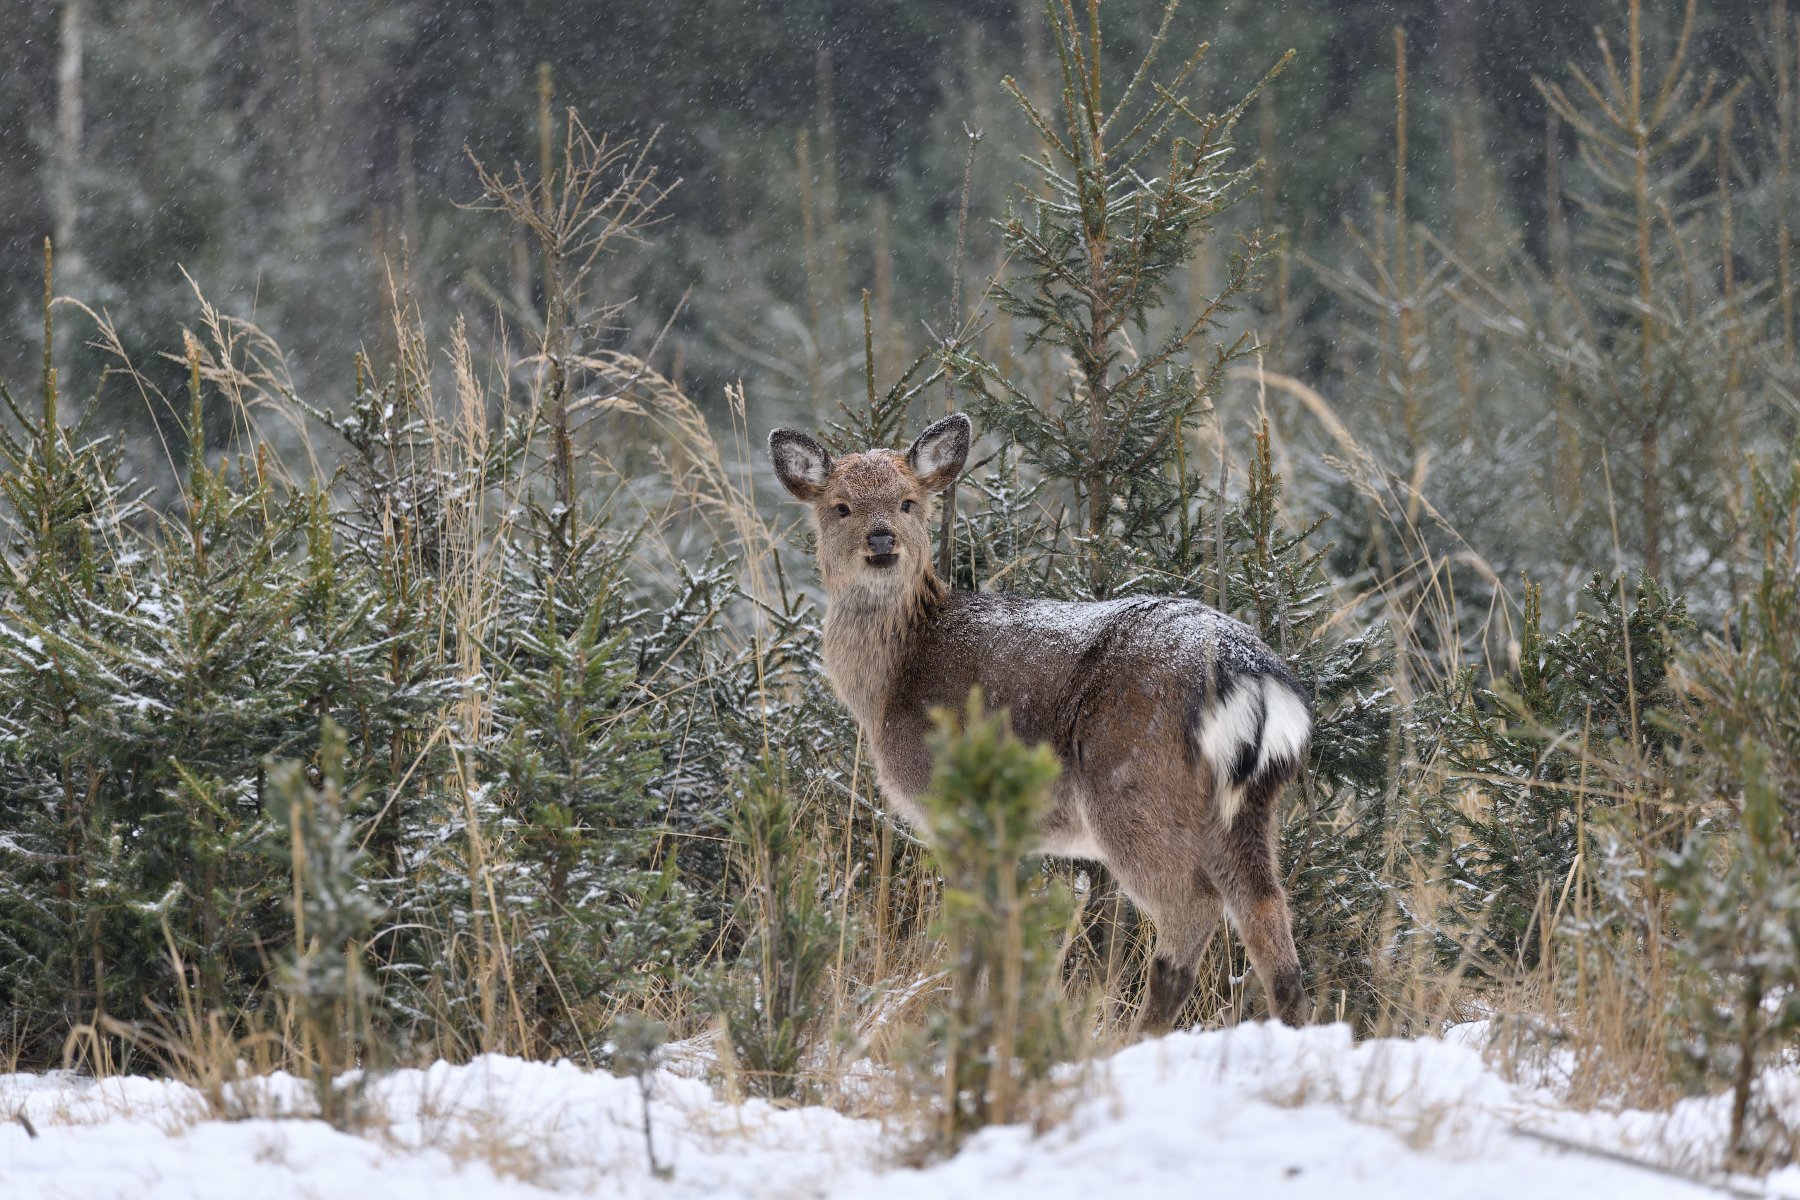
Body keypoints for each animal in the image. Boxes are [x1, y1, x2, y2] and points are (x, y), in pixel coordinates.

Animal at [766, 415, 1317, 1036]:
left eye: (908, 502)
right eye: (840, 506)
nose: (882, 541)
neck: (895, 677)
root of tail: (1249, 671)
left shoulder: (953, 805)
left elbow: (971, 937)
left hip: (1133, 785)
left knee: (1194, 905)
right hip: (1250, 804)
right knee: (1268, 912)